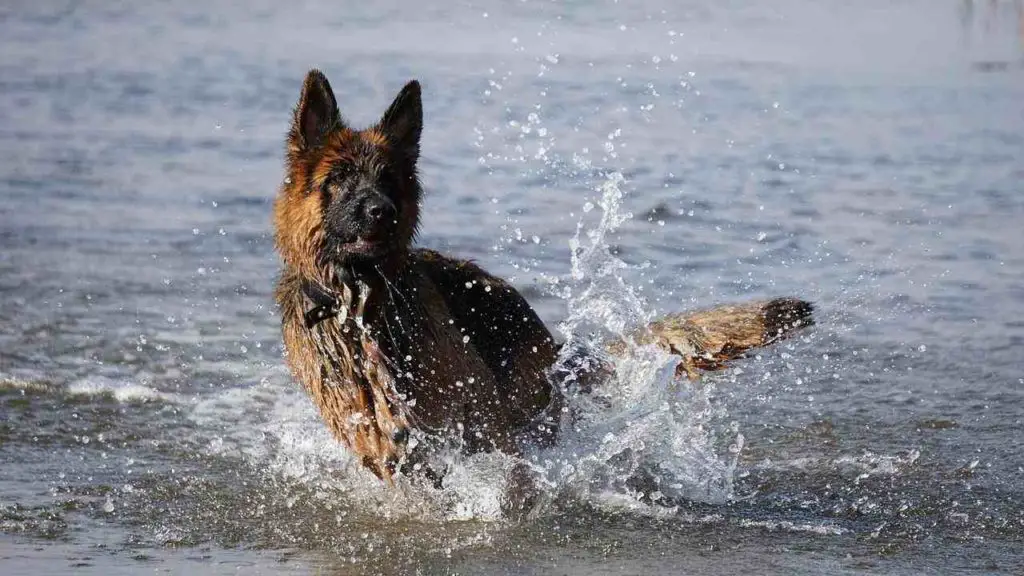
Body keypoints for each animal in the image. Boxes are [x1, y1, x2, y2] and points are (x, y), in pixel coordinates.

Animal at [274, 69, 815, 481]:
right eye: (341, 179)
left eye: (388, 180)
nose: (381, 212)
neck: (360, 305)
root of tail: (554, 348)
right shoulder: (370, 427)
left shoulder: (471, 411)